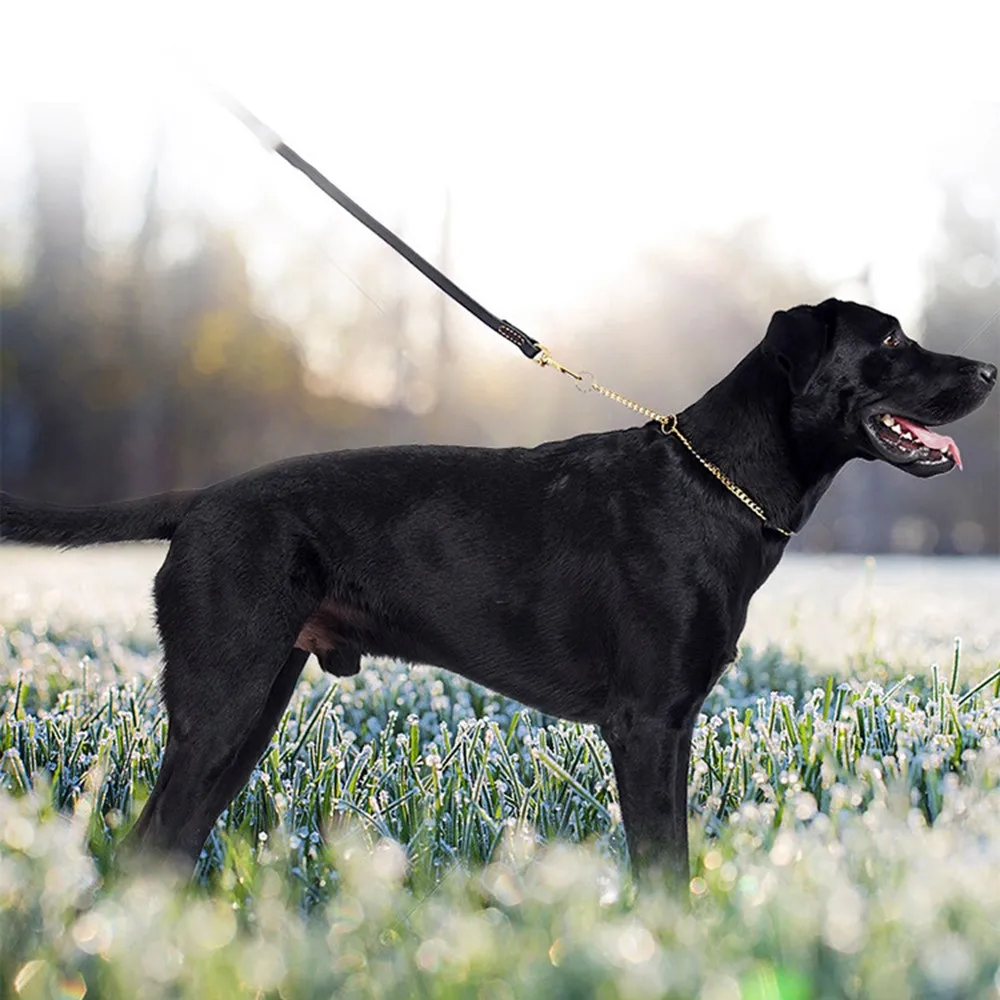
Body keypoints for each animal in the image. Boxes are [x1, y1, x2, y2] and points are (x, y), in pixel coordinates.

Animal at [3, 298, 996, 884]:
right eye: (892, 340)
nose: (990, 370)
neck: (720, 484)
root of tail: (198, 502)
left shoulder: (673, 724)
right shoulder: (645, 721)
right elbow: (659, 865)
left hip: (247, 714)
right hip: (225, 700)